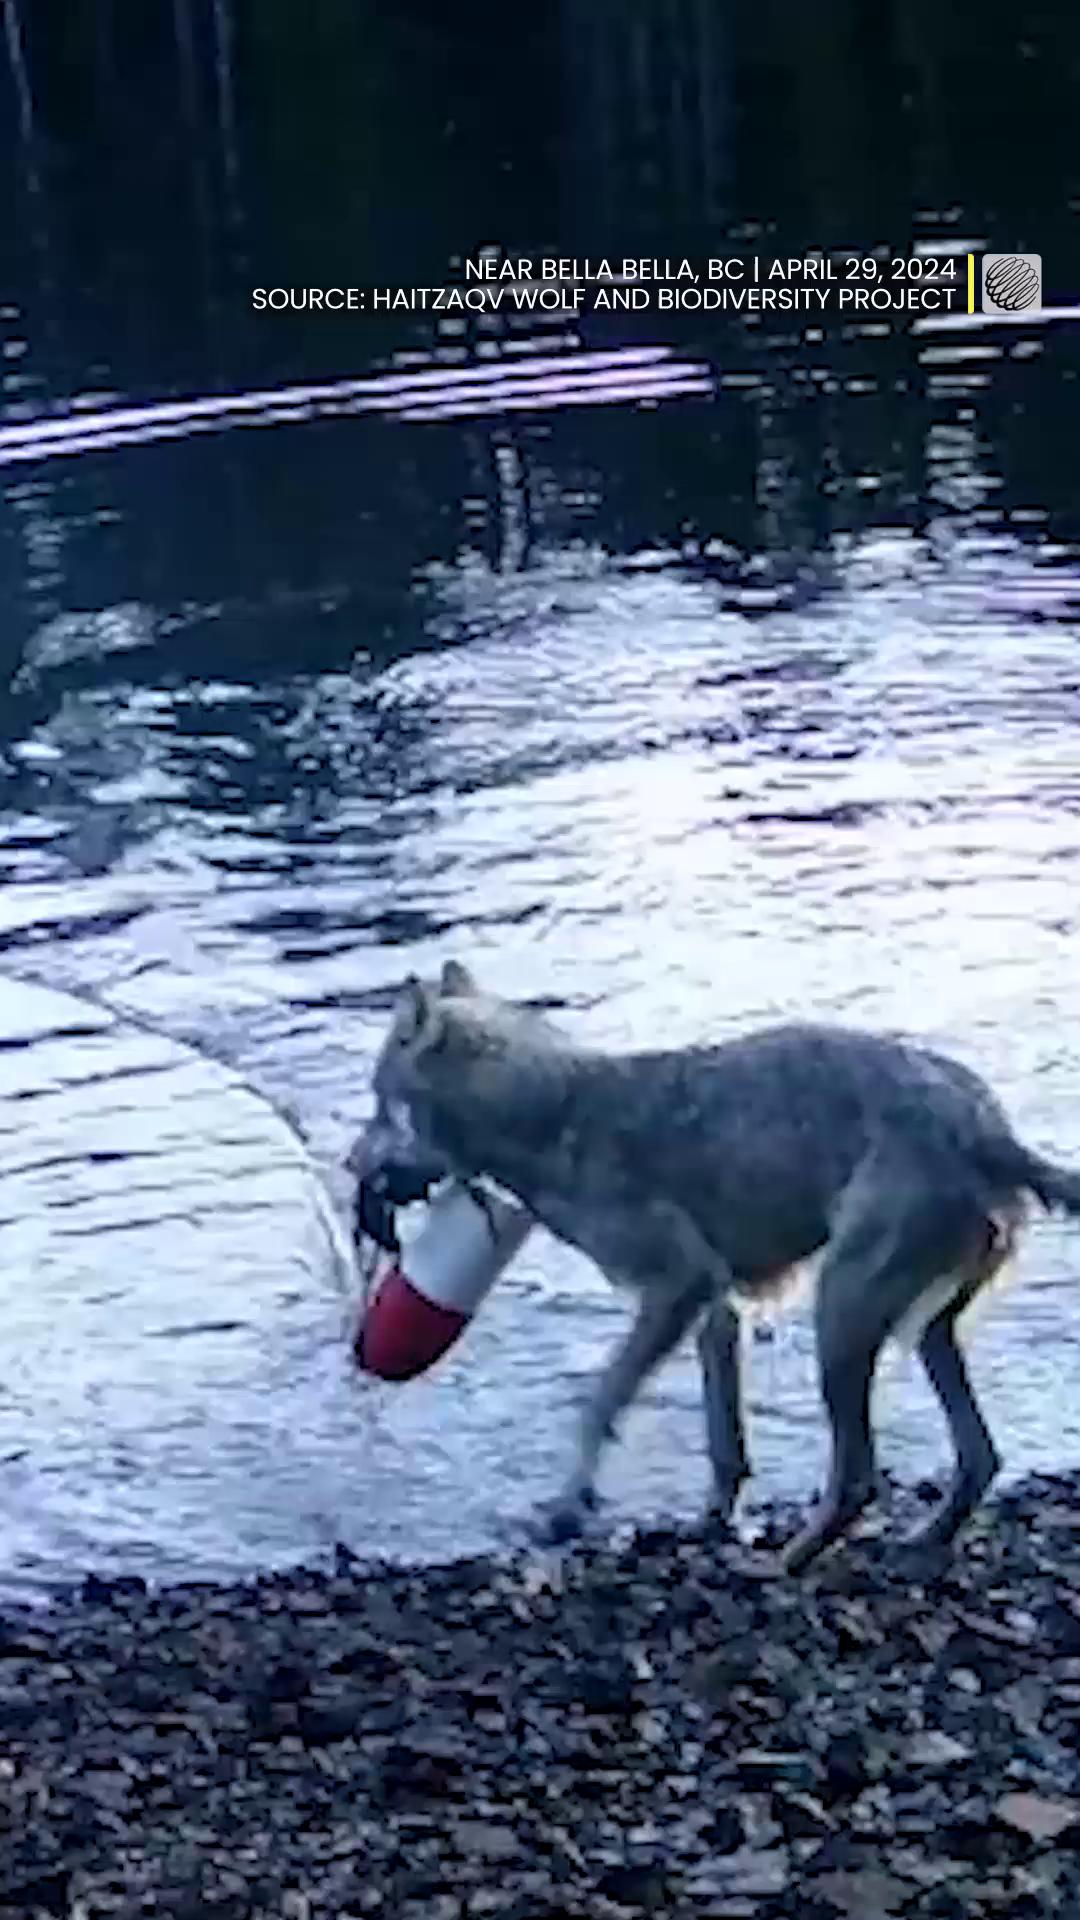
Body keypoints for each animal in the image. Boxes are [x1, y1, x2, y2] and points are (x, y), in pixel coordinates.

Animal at [350, 961, 1080, 1571]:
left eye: (379, 1102)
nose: (349, 1165)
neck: (550, 1113)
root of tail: (986, 1128)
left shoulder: (677, 1290)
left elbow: (598, 1401)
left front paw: (564, 1509)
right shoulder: (715, 1310)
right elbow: (723, 1441)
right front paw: (711, 1519)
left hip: (841, 1314)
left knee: (859, 1476)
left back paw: (784, 1564)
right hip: (924, 1328)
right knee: (978, 1456)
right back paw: (921, 1541)